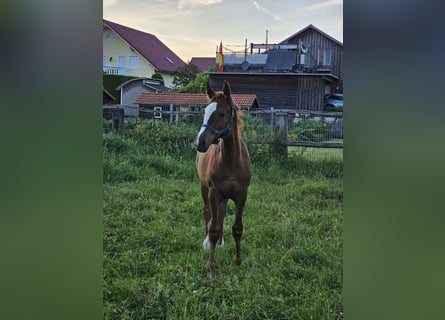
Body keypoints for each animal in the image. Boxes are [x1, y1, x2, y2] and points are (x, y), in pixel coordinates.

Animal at [193, 80, 251, 278]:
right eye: (204, 112)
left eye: (222, 113)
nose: (200, 143)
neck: (232, 161)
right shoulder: (214, 192)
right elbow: (213, 229)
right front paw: (210, 267)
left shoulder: (242, 194)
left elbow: (237, 228)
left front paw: (238, 261)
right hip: (204, 189)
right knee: (207, 213)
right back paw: (205, 242)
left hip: (225, 196)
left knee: (222, 213)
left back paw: (221, 243)